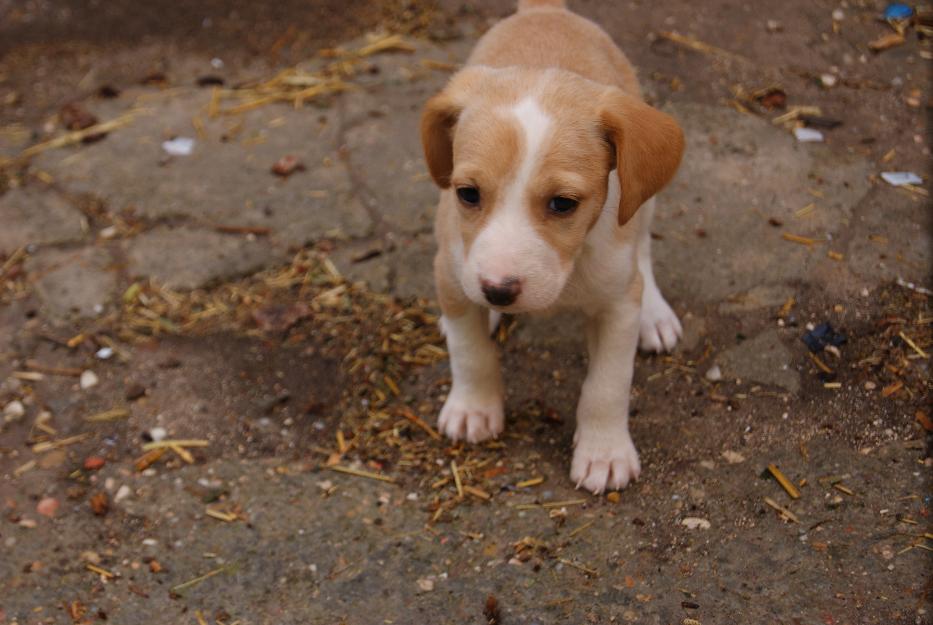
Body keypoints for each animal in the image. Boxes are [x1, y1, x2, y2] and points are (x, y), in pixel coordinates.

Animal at [422, 0, 684, 492]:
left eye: (563, 204)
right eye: (468, 194)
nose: (497, 291)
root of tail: (545, 9)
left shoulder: (617, 305)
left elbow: (607, 385)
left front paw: (604, 452)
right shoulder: (450, 270)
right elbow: (470, 354)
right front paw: (473, 408)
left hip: (644, 200)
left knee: (643, 250)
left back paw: (655, 314)